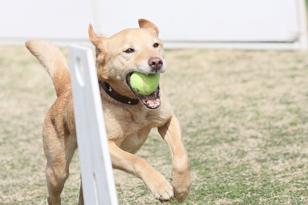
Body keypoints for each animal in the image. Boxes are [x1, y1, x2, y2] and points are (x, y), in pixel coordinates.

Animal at [25, 18, 190, 203]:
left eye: (156, 45)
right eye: (129, 50)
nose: (156, 62)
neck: (132, 105)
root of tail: (65, 90)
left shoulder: (167, 120)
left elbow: (181, 157)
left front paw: (181, 188)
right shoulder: (107, 147)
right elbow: (137, 160)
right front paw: (161, 186)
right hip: (57, 169)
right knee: (52, 194)